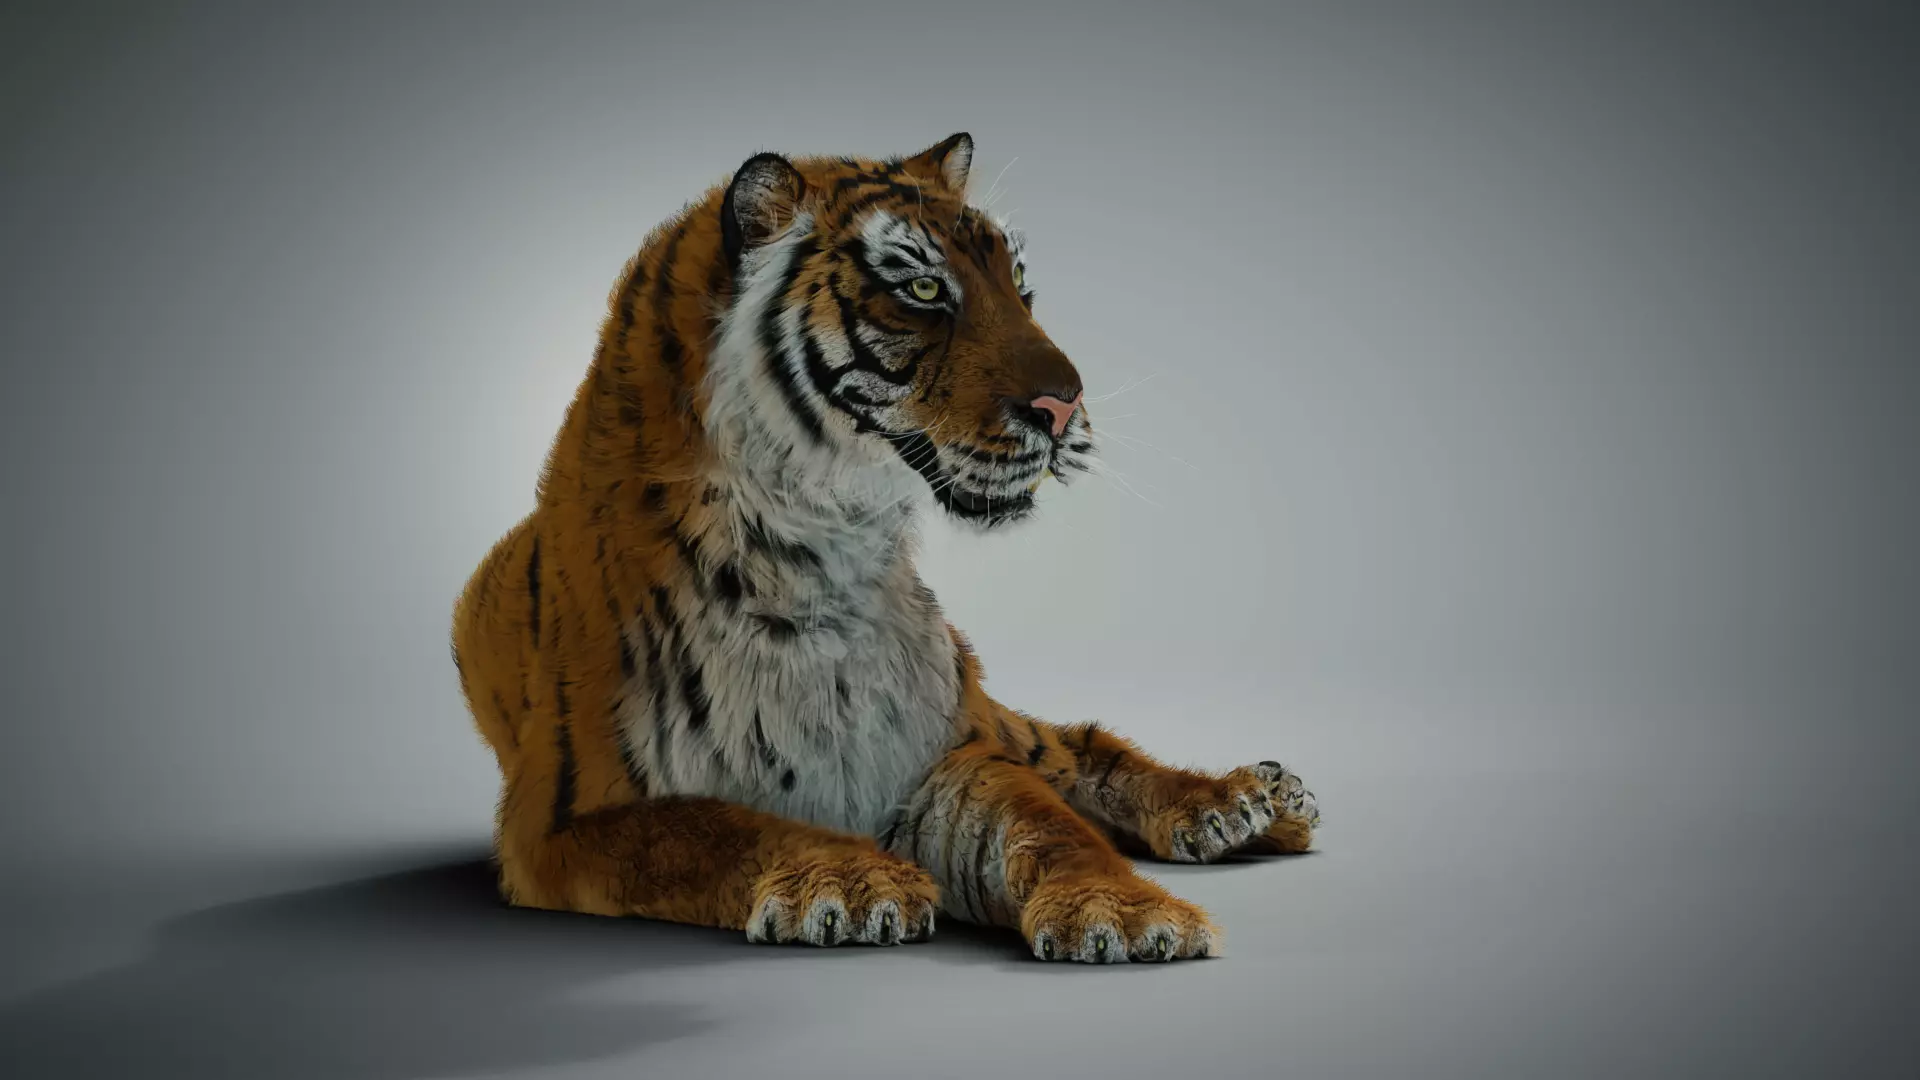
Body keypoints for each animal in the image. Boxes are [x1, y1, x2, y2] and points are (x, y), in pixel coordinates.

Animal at [450, 132, 1320, 963]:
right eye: (924, 290)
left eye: (1020, 284)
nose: (1066, 407)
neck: (820, 556)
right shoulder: (569, 817)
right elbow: (719, 828)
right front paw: (849, 881)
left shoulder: (943, 751)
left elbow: (1048, 826)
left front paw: (1123, 912)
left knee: (1074, 747)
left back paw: (1251, 804)